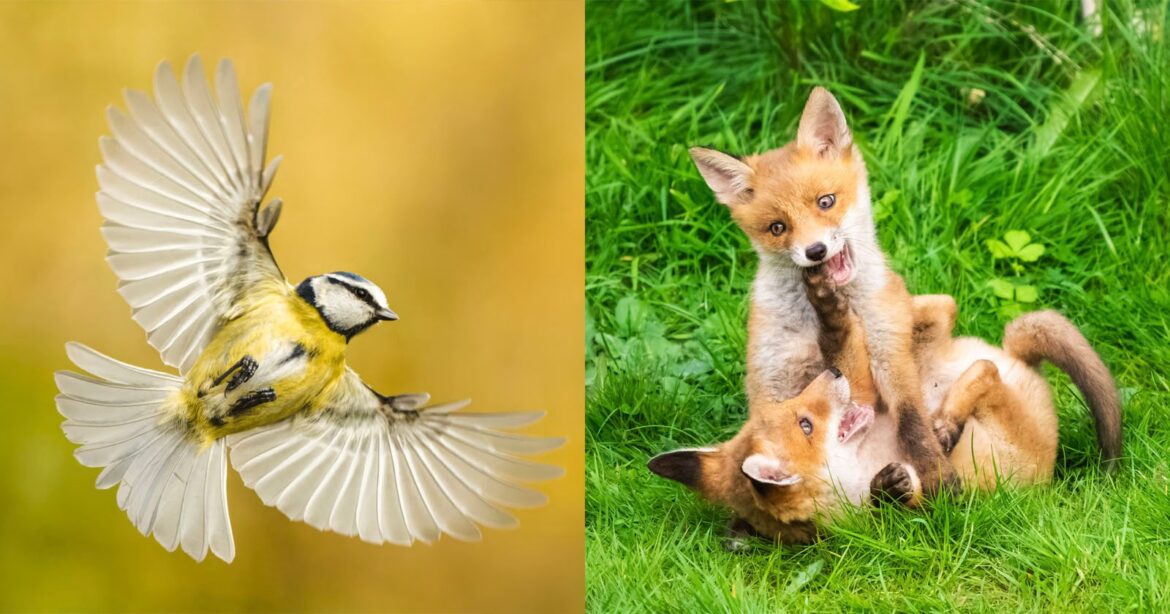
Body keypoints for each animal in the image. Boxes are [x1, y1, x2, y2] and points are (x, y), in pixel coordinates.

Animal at [648, 267, 1121, 545]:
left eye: (796, 411)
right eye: (806, 424)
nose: (829, 375)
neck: (861, 463)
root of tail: (1021, 361)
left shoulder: (867, 393)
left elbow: (850, 351)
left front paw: (830, 310)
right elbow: (912, 503)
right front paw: (891, 491)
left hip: (918, 344)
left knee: (941, 308)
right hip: (1008, 425)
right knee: (984, 370)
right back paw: (944, 423)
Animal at [688, 87, 952, 495]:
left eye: (826, 201)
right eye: (777, 227)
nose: (815, 251)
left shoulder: (889, 352)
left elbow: (913, 425)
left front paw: (939, 477)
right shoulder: (775, 378)